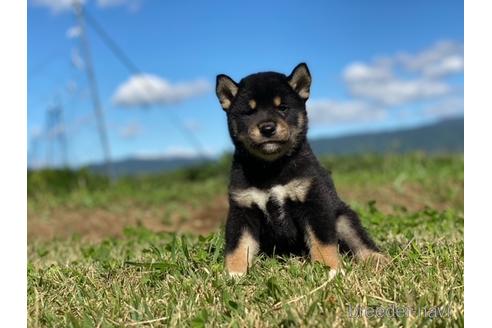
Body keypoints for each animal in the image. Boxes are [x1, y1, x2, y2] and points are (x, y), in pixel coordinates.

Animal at [215, 63, 388, 276]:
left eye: (282, 108)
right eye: (249, 112)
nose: (267, 128)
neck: (271, 169)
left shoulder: (313, 202)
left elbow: (322, 241)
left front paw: (330, 269)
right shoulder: (242, 209)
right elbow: (238, 246)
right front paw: (234, 274)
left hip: (343, 218)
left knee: (360, 241)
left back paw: (377, 260)